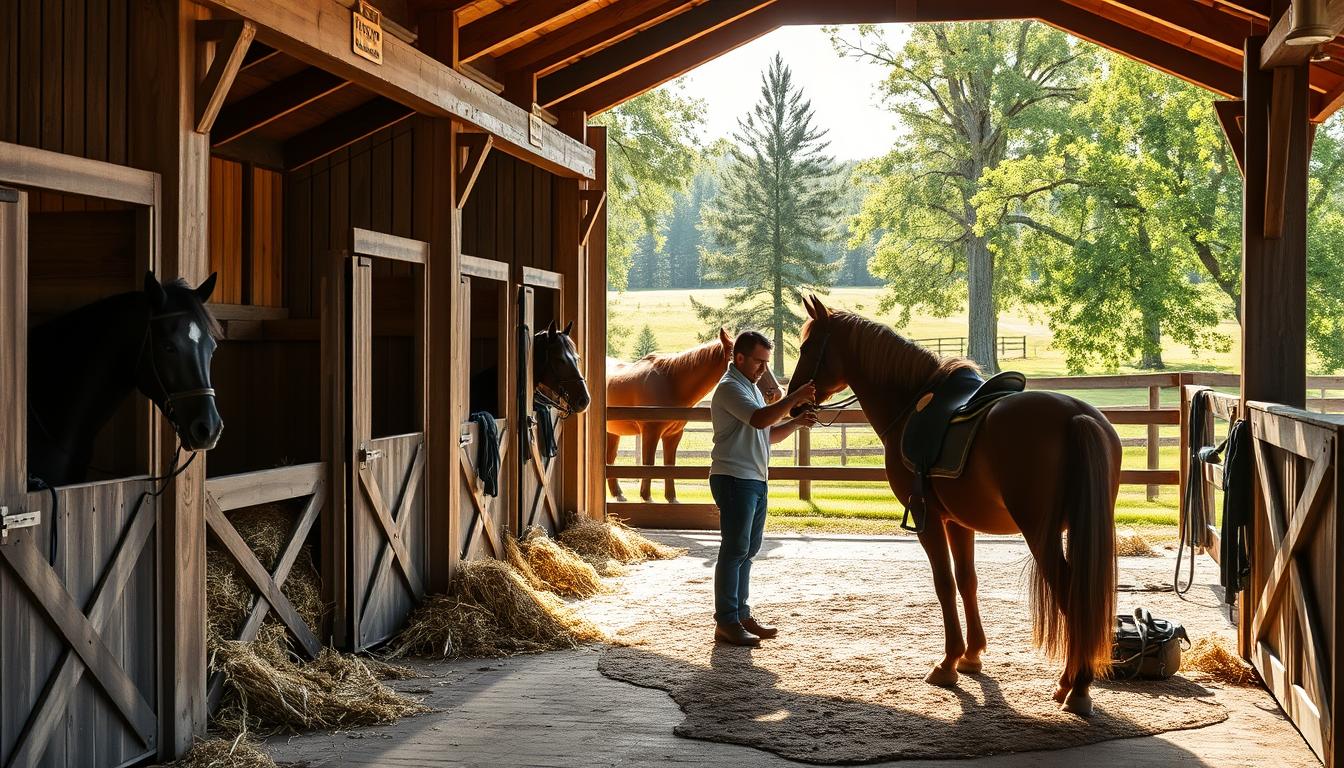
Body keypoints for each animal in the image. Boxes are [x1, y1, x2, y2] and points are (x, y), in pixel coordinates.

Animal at [607, 330, 784, 505]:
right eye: (758, 360)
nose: (776, 393)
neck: (670, 382)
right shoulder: (650, 432)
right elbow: (648, 464)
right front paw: (646, 497)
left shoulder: (673, 435)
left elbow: (669, 465)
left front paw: (671, 498)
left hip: (612, 433)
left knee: (610, 459)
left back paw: (618, 494)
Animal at [784, 297, 1118, 720]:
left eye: (807, 347)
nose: (794, 402)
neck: (911, 403)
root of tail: (1077, 416)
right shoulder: (960, 522)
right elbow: (967, 581)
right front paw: (972, 656)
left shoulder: (927, 519)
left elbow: (943, 583)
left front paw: (947, 663)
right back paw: (1067, 683)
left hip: (1041, 536)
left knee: (1073, 597)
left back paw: (1077, 687)